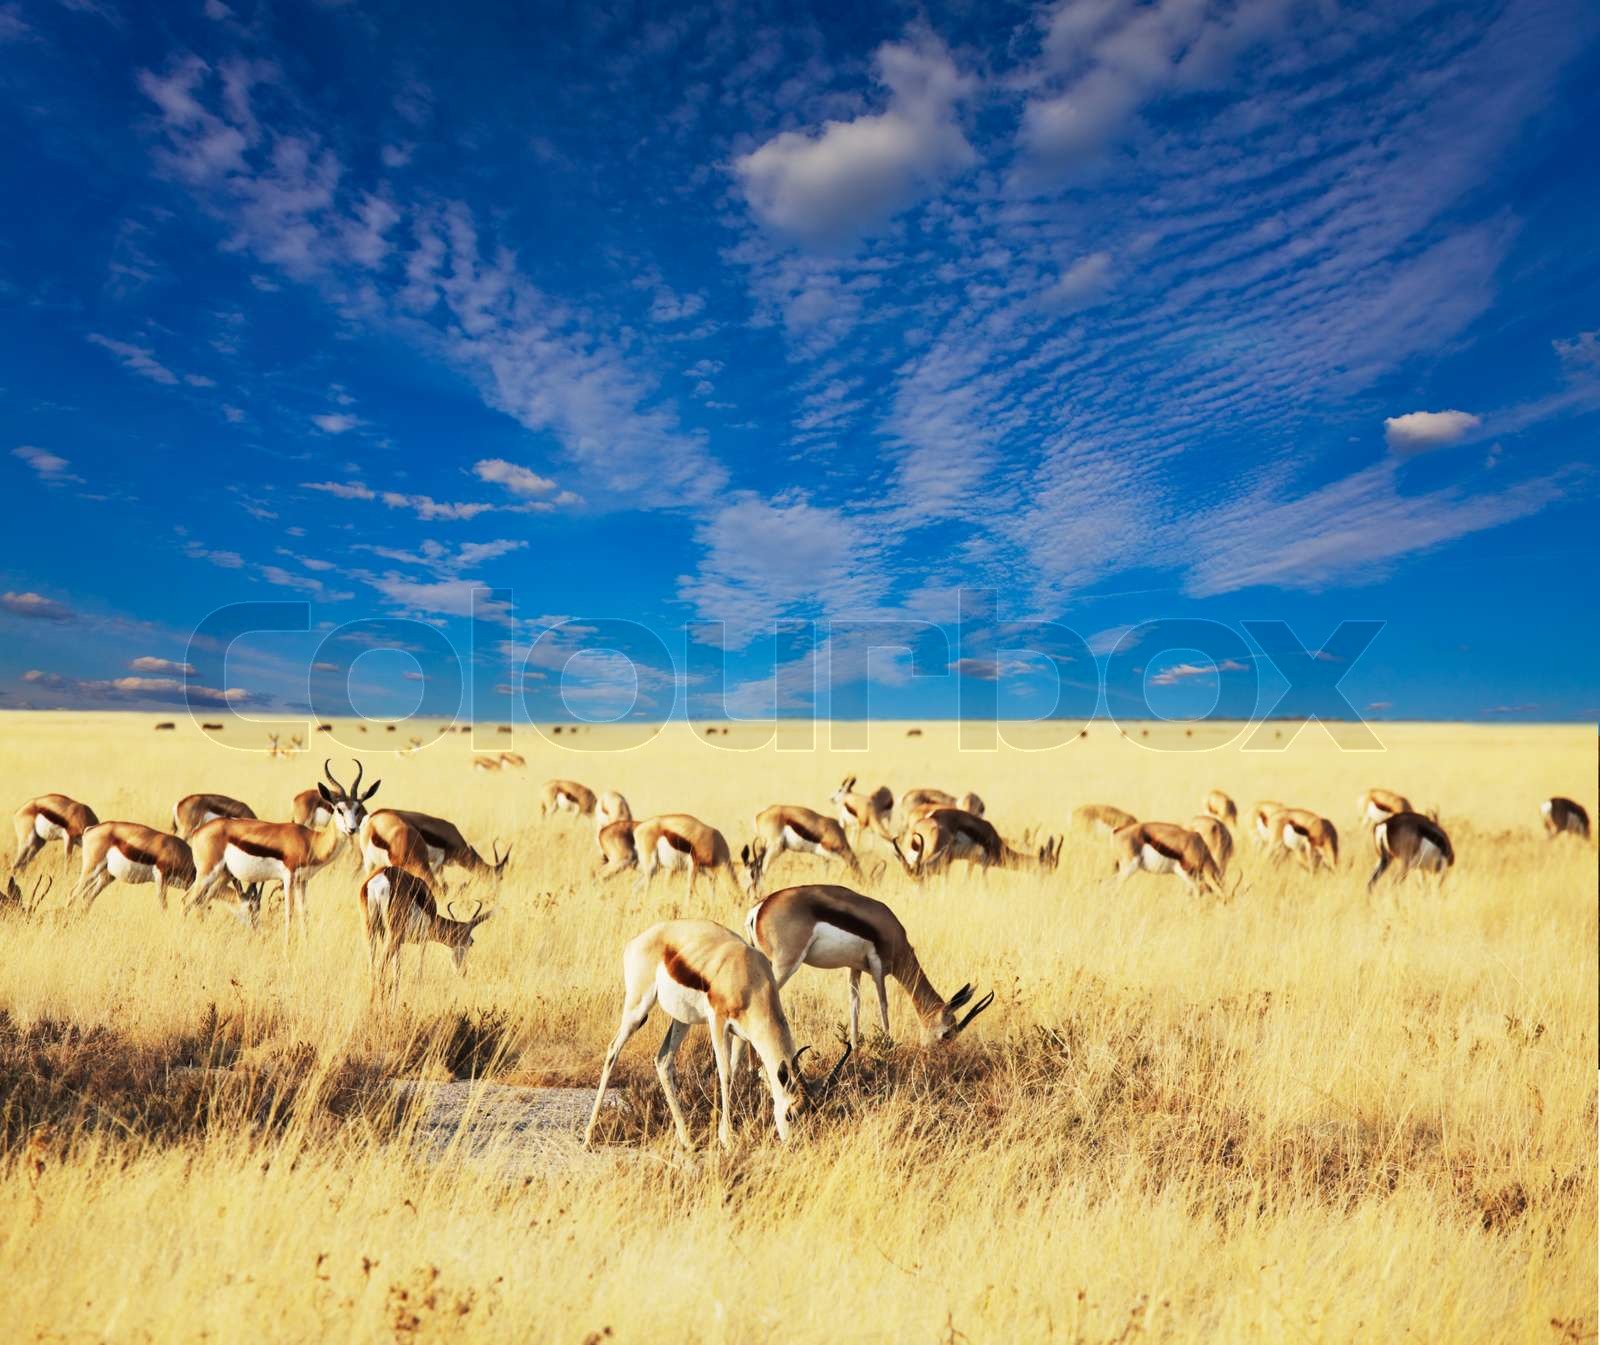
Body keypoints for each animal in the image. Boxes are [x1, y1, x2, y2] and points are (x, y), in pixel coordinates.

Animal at [360, 866, 492, 1003]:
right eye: (471, 942)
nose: (463, 972)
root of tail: (382, 876)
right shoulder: (423, 940)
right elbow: (419, 973)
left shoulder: (399, 944)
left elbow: (397, 972)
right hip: (392, 936)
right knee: (380, 967)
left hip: (370, 931)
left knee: (372, 968)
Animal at [583, 919, 850, 1150]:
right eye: (790, 1114)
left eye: (810, 1113)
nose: (793, 1144)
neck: (750, 975)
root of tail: (637, 940)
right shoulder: (718, 1022)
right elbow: (725, 1073)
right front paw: (727, 1139)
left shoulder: (743, 1034)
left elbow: (743, 1070)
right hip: (637, 1009)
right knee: (613, 1050)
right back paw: (588, 1137)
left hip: (682, 1019)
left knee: (663, 1060)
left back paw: (687, 1141)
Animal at [746, 884, 993, 1046]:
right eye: (947, 1034)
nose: (936, 1056)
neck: (891, 931)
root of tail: (760, 907)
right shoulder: (877, 968)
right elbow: (883, 1005)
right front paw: (888, 1045)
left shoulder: (854, 968)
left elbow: (854, 1007)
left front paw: (855, 1051)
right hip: (785, 965)